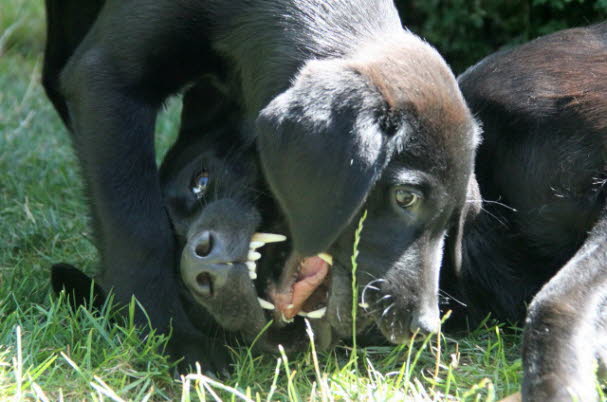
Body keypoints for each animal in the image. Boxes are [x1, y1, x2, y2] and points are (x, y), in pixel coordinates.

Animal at [41, 0, 480, 370]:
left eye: (454, 216)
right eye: (405, 196)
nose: (423, 327)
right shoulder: (105, 76)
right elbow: (134, 229)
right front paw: (169, 334)